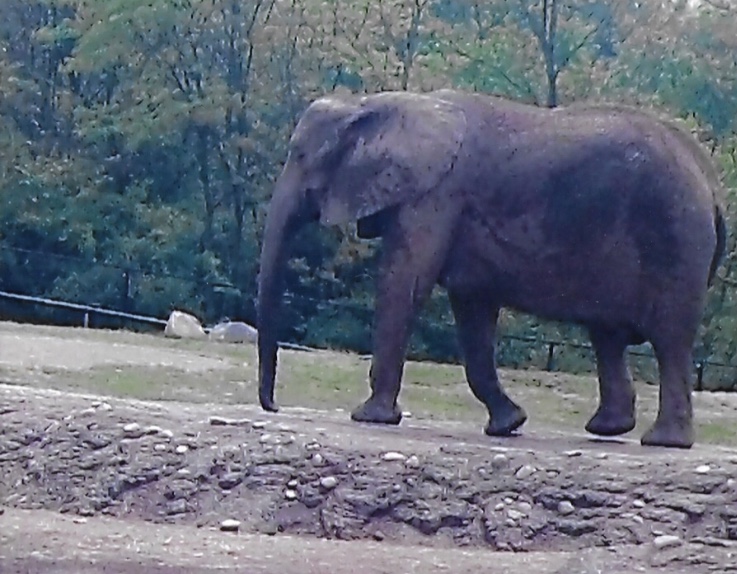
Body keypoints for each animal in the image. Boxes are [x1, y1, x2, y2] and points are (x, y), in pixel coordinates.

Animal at [256, 88, 726, 449]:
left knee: (669, 339)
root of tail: (711, 183)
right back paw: (608, 428)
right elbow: (472, 309)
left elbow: (405, 282)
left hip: (674, 234)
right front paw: (509, 424)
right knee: (607, 335)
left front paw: (370, 417)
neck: (371, 103)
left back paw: (663, 441)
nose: (275, 405)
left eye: (300, 154)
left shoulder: (436, 196)